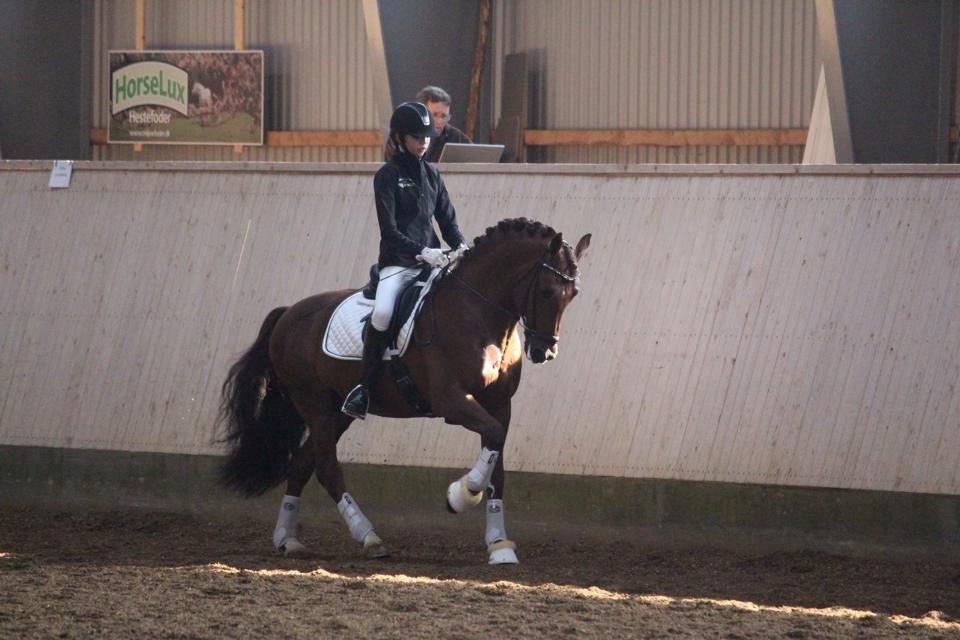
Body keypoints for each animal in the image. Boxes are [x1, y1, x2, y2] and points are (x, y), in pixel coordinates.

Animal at [217, 218, 591, 564]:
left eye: (573, 295)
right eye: (546, 291)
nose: (545, 352)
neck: (477, 313)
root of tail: (288, 313)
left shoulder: (500, 404)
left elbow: (496, 459)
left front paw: (499, 545)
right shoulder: (451, 401)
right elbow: (493, 440)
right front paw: (460, 495)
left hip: (337, 411)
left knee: (302, 464)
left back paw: (288, 540)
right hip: (315, 405)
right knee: (326, 468)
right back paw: (369, 537)